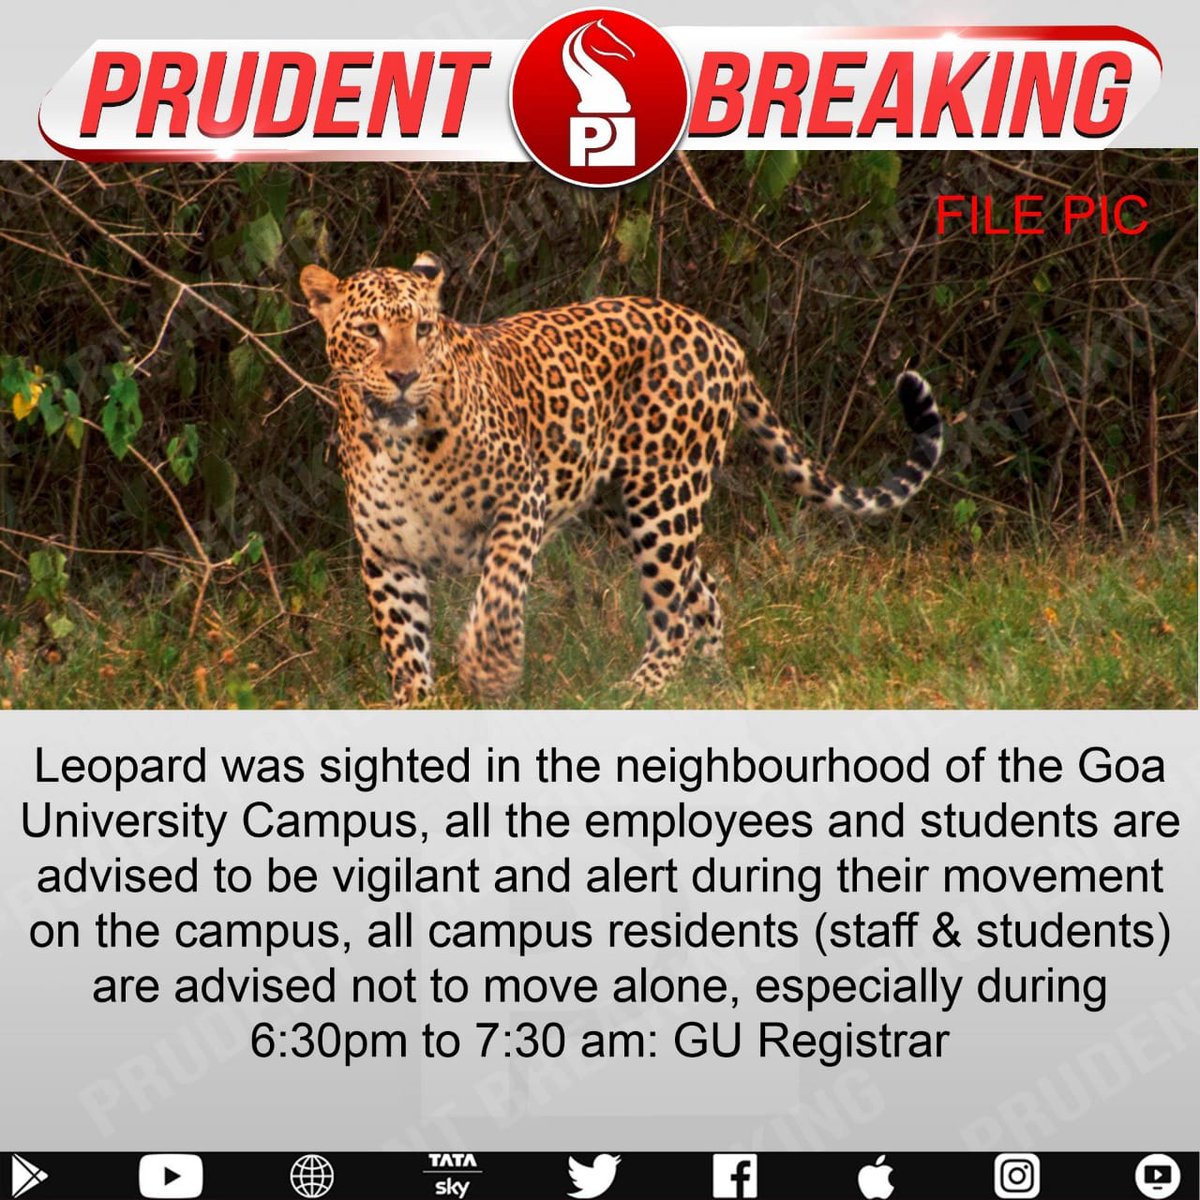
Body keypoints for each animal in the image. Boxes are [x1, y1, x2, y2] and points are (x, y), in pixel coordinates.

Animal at [300, 253, 943, 706]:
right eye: (368, 331)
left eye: (424, 329)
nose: (405, 377)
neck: (401, 447)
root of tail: (720, 336)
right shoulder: (387, 551)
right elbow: (404, 643)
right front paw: (418, 704)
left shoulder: (520, 503)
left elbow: (499, 596)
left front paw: (490, 670)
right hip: (626, 500)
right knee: (702, 591)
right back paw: (709, 684)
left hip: (664, 495)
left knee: (675, 611)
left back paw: (639, 692)